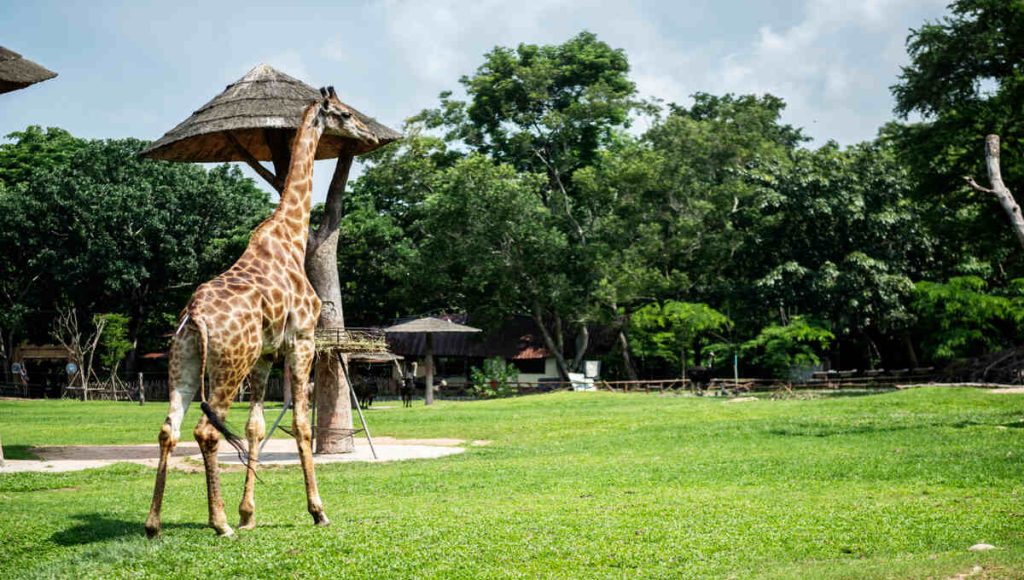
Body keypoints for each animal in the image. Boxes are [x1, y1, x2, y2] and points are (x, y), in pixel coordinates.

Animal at [140, 86, 372, 541]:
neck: (291, 236)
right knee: (205, 430)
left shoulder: (266, 354)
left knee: (168, 429)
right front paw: (317, 510)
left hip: (185, 362)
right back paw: (219, 523)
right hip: (229, 364)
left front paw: (249, 513)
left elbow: (255, 427)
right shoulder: (302, 340)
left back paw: (154, 523)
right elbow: (300, 423)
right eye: (346, 115)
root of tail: (195, 316)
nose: (370, 135)